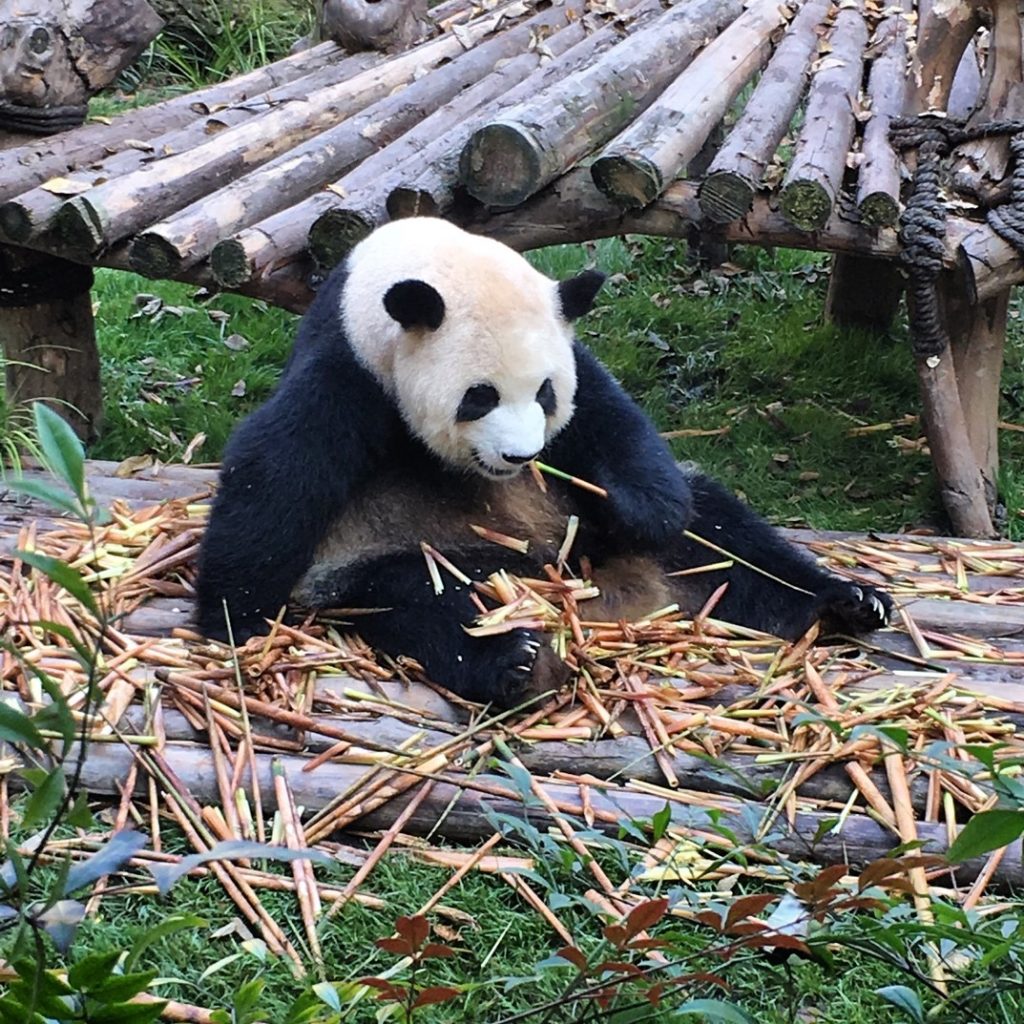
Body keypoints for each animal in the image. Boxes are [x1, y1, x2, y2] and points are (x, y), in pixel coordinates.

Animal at [195, 218, 892, 704]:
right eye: (478, 396)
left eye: (545, 393)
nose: (521, 455)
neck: (413, 259)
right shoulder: (352, 367)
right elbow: (277, 470)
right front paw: (236, 619)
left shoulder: (576, 361)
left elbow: (615, 425)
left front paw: (644, 508)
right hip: (404, 552)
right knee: (420, 598)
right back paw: (515, 660)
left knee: (727, 542)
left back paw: (845, 600)